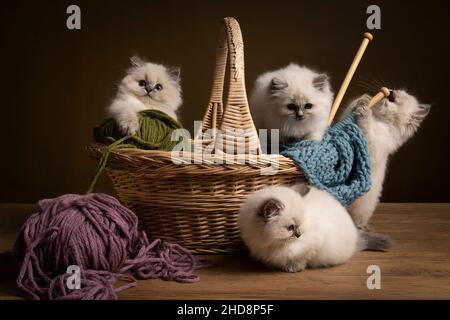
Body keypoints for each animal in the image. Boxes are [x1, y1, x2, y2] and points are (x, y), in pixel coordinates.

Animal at [239, 184, 390, 272]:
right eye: (290, 228)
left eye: (301, 224)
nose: (299, 235)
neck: (272, 243)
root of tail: (357, 238)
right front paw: (271, 266)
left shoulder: (312, 245)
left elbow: (300, 259)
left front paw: (292, 268)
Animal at [342, 89, 432, 229]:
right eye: (396, 91)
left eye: (400, 96)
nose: (391, 91)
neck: (379, 120)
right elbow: (348, 112)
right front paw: (364, 99)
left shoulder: (372, 149)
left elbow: (366, 129)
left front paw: (365, 111)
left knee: (356, 221)